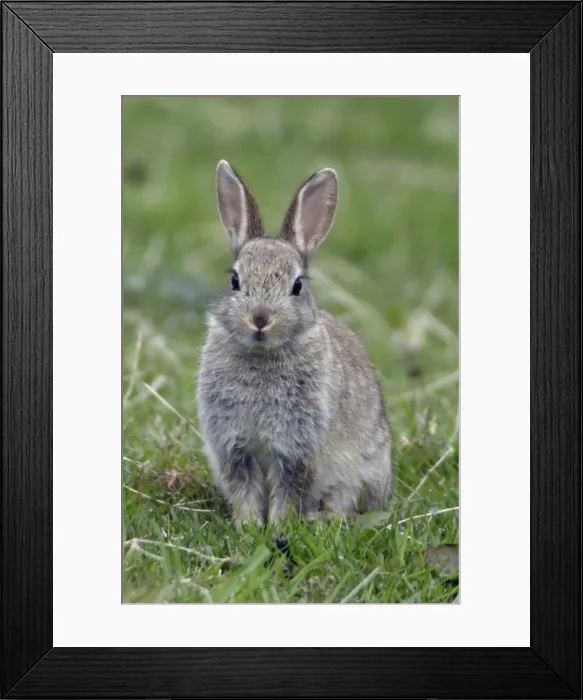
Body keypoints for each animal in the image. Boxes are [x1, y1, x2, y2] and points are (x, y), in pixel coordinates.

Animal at [196, 160, 392, 527]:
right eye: (235, 280)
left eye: (297, 286)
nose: (260, 319)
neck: (261, 356)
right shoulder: (234, 448)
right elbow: (245, 490)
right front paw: (248, 527)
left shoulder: (297, 451)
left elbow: (288, 492)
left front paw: (276, 527)